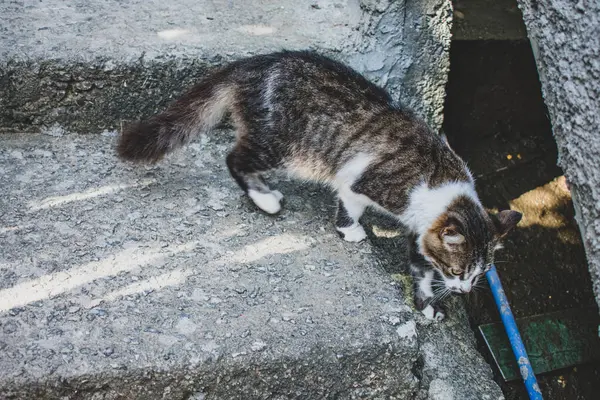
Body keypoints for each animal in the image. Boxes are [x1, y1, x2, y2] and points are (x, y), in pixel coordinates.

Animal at [117, 50, 520, 322]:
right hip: (280, 144)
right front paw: (350, 230)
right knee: (234, 158)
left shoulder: (421, 229)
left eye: (479, 275)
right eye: (458, 272)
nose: (464, 290)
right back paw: (264, 198)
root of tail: (255, 64)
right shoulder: (361, 178)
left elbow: (420, 268)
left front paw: (425, 305)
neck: (441, 183)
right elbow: (349, 202)